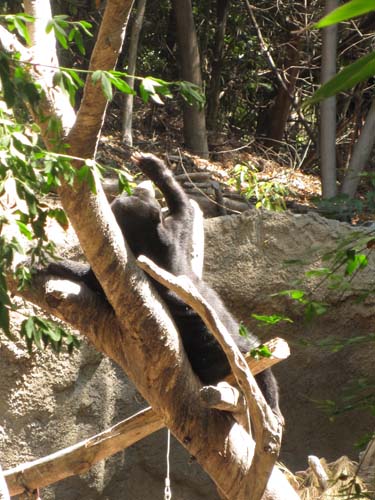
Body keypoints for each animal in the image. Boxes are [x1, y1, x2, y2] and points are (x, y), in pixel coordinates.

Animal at [47, 153, 280, 418]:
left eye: (129, 197)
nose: (138, 187)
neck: (148, 242)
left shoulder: (147, 258)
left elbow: (94, 277)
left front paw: (49, 262)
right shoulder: (171, 239)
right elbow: (184, 210)